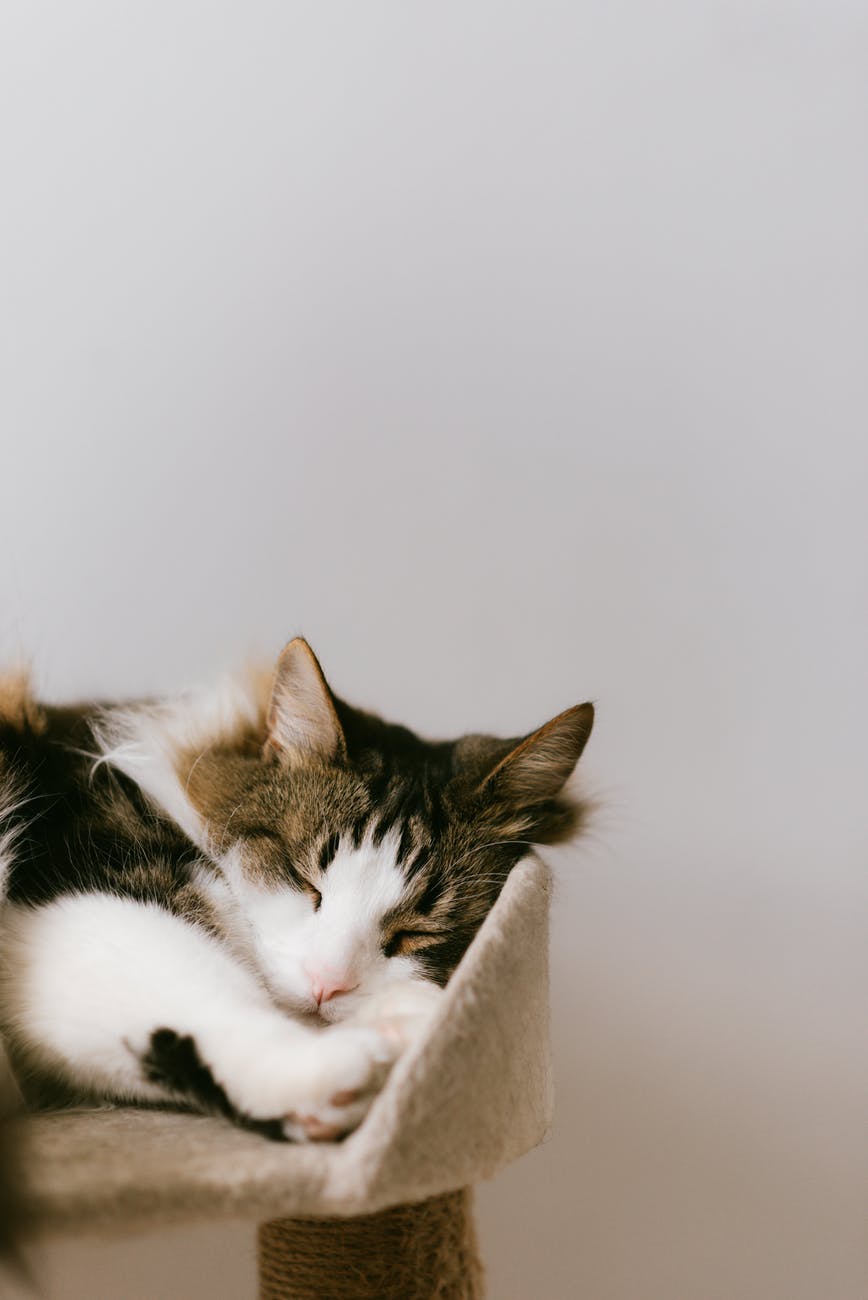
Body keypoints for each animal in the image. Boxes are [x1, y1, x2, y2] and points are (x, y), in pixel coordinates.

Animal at [0, 637, 592, 1138]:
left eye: (416, 933)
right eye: (306, 883)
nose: (327, 984)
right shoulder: (77, 889)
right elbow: (204, 995)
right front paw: (339, 1065)